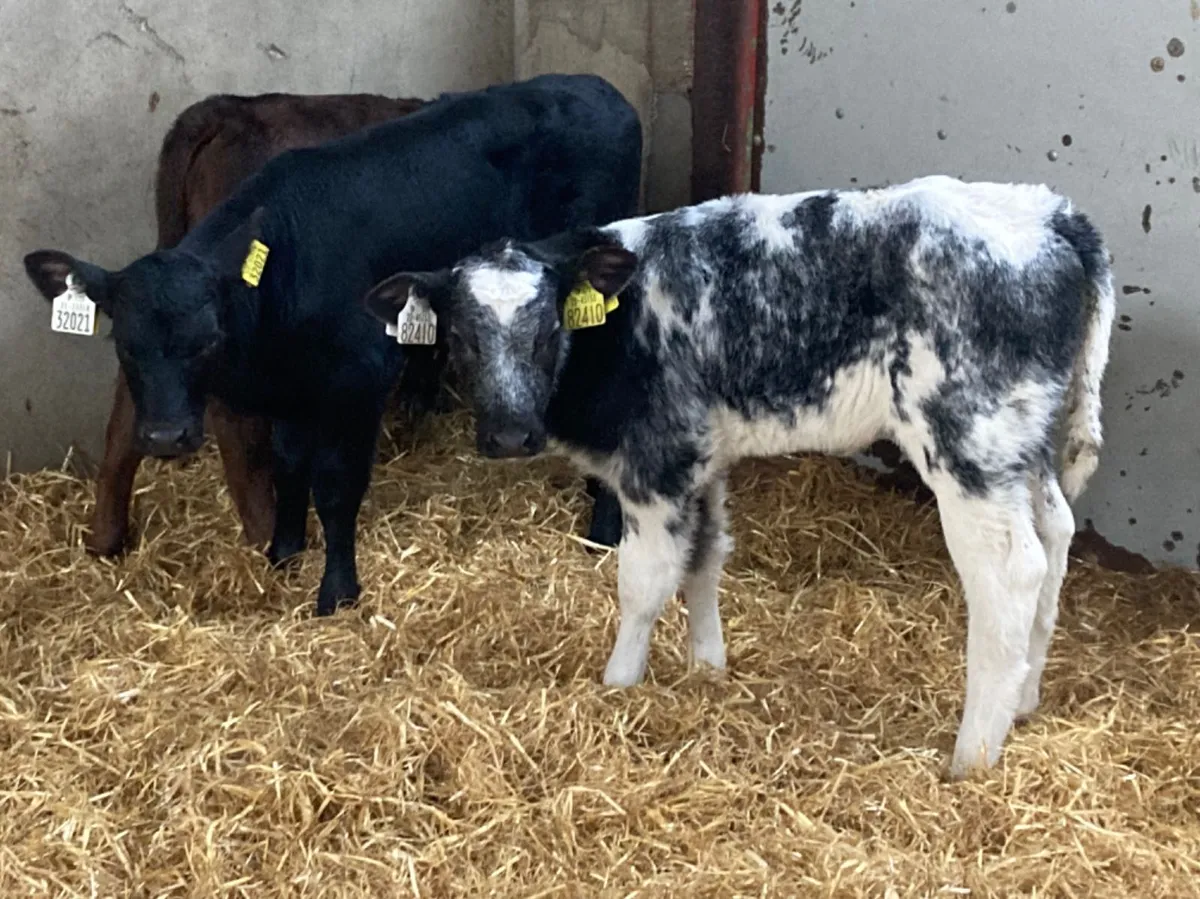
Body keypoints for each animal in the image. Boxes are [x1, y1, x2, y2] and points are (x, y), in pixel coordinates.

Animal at [362, 175, 1115, 778]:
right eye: (461, 336)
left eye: (549, 329)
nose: (509, 436)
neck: (619, 327)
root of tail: (1048, 212)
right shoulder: (704, 457)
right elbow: (704, 558)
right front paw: (707, 669)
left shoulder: (657, 459)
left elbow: (643, 583)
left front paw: (617, 687)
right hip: (1021, 446)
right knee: (1055, 535)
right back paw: (1023, 702)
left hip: (968, 443)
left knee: (1009, 572)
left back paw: (973, 756)